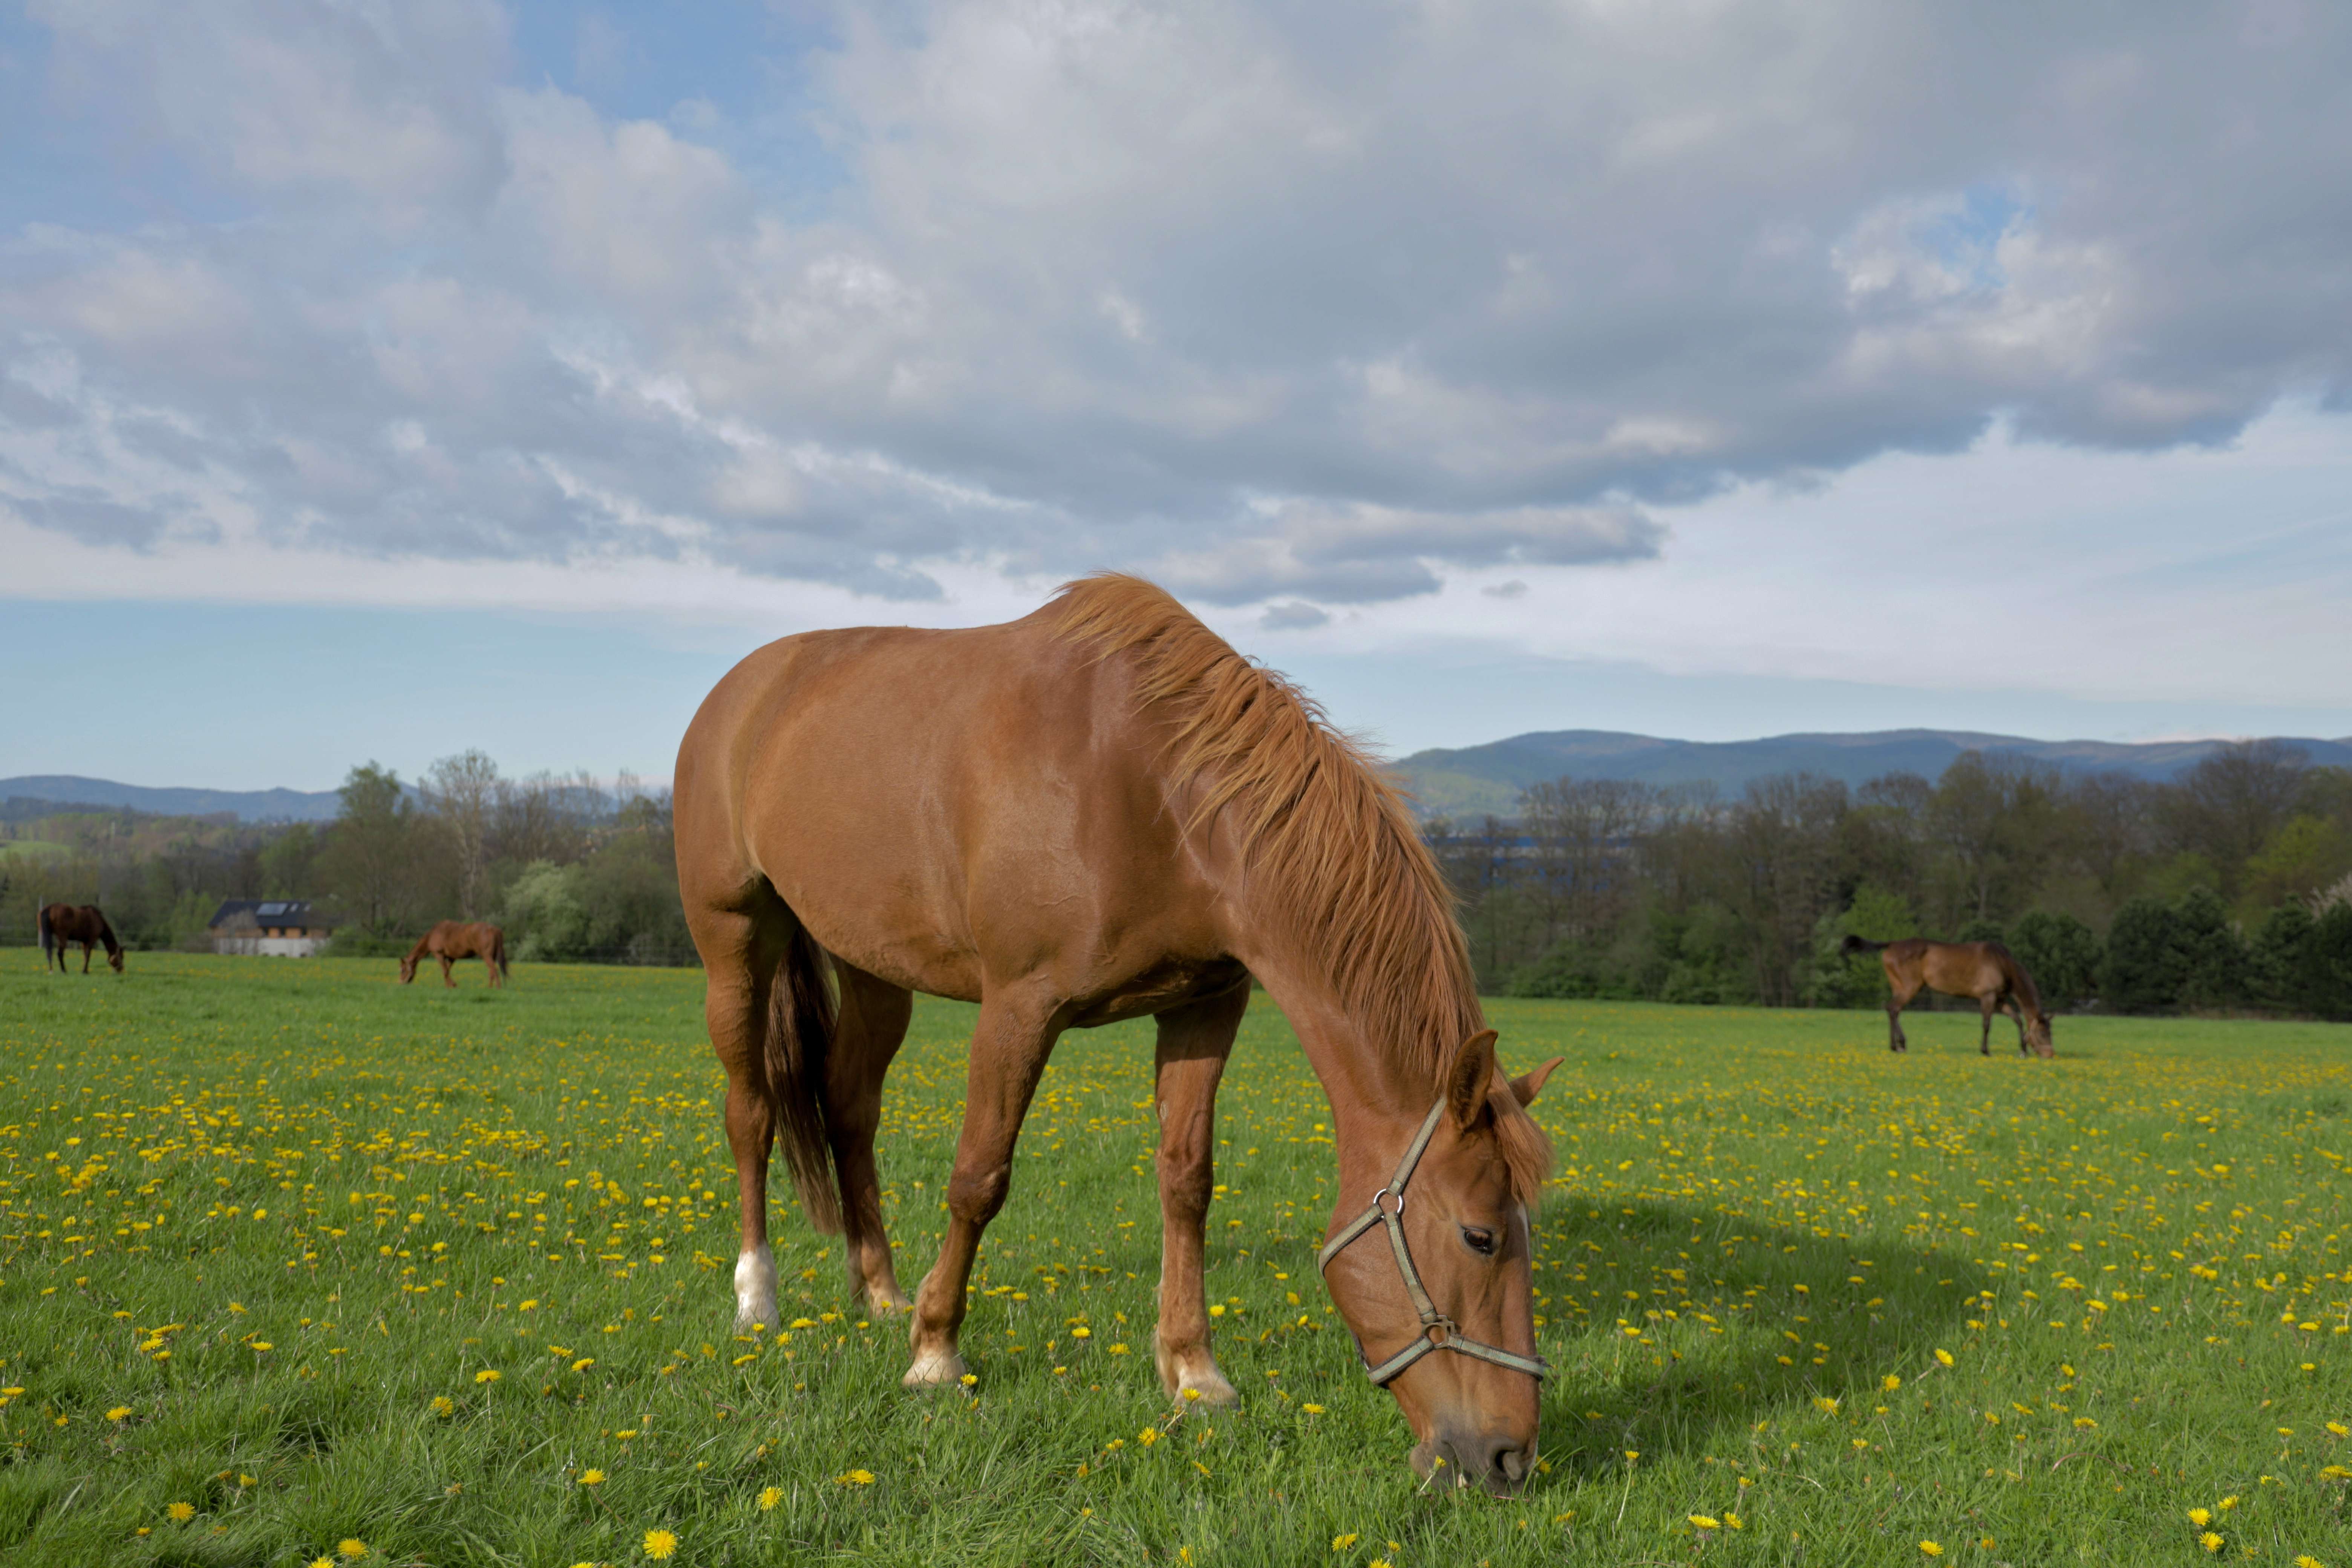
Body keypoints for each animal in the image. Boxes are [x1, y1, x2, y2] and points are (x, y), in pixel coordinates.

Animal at [38, 902, 123, 973]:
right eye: (122, 957)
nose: (121, 969)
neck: (99, 920)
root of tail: (49, 908)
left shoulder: (84, 942)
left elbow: (85, 955)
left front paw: (85, 970)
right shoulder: (92, 939)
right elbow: (88, 955)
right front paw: (85, 971)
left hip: (48, 934)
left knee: (49, 952)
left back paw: (51, 970)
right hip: (63, 937)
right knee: (60, 953)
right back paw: (64, 970)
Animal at [400, 926, 510, 987]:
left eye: (402, 970)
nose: (400, 983)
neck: (432, 936)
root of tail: (495, 930)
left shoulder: (438, 954)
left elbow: (445, 971)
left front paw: (452, 985)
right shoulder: (451, 957)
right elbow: (447, 971)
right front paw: (450, 986)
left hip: (486, 955)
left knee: (494, 970)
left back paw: (495, 988)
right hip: (492, 956)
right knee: (492, 971)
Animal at [677, 573, 1562, 1495]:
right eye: (1481, 1236)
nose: (1510, 1458)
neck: (1156, 793)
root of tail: (744, 689)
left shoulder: (1206, 1007)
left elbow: (1187, 1181)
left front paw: (1196, 1373)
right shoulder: (1019, 1006)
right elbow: (979, 1179)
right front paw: (936, 1353)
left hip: (876, 971)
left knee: (850, 1106)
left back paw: (878, 1290)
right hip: (735, 943)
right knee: (751, 1114)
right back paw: (758, 1298)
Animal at [1844, 940, 2051, 1063]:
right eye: (2043, 1033)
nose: (2050, 1054)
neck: (2002, 963)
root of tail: (1891, 945)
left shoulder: (1999, 1000)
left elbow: (2018, 1020)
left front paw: (2023, 1050)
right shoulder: (1988, 996)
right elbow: (1986, 1024)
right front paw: (1986, 1051)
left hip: (1900, 988)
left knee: (1892, 1010)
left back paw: (1896, 1045)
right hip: (1909, 988)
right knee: (1894, 1009)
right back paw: (1900, 1045)